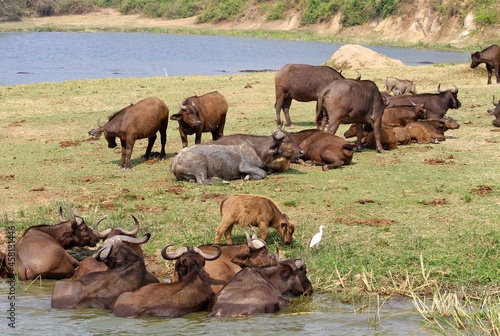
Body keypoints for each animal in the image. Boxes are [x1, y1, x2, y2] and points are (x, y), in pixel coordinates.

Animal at [170, 126, 302, 184]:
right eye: (287, 141)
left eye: (292, 138)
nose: (301, 152)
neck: (256, 148)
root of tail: (176, 159)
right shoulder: (246, 166)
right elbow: (263, 173)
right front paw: (248, 176)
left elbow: (268, 171)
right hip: (200, 167)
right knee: (202, 181)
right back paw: (222, 180)